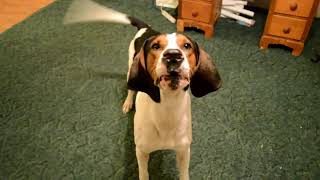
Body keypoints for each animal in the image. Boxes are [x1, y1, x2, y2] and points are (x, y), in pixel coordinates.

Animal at [63, 0, 221, 179]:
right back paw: (127, 103)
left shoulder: (183, 151)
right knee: (131, 89)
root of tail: (147, 29)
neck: (167, 106)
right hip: (129, 67)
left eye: (187, 45)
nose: (173, 55)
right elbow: (144, 173)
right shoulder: (141, 152)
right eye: (156, 46)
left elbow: (184, 173)